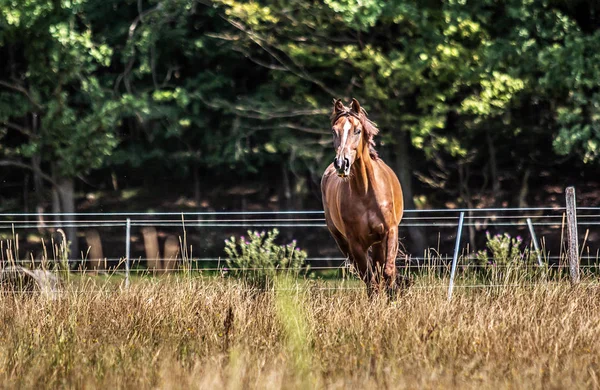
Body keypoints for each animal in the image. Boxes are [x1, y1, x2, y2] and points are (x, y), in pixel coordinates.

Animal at [322, 98, 406, 298]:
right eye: (334, 131)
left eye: (357, 130)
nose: (341, 164)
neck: (365, 192)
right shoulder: (356, 243)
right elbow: (371, 281)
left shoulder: (390, 231)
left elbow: (388, 272)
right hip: (345, 244)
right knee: (368, 277)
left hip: (377, 242)